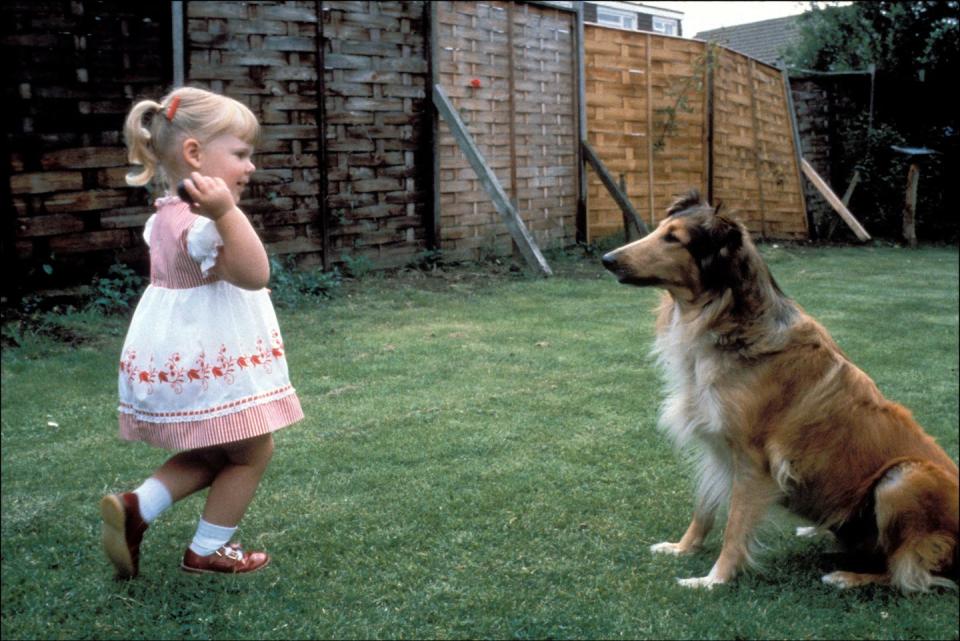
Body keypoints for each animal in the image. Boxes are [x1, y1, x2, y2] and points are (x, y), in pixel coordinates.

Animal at [604, 190, 956, 592]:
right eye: (660, 229)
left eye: (673, 238)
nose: (606, 260)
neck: (729, 321)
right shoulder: (715, 448)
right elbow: (704, 509)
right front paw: (682, 548)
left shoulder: (753, 462)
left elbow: (734, 527)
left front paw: (714, 580)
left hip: (903, 479)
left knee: (909, 573)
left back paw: (848, 576)